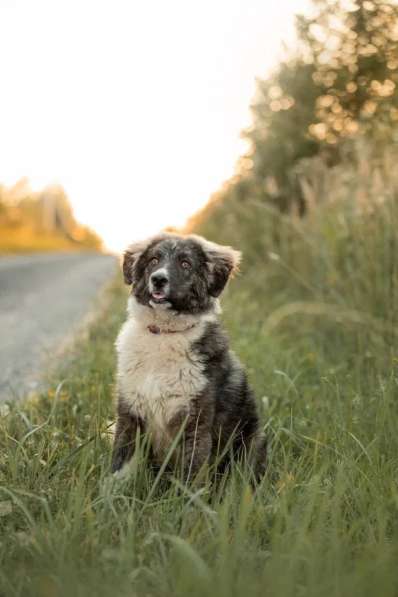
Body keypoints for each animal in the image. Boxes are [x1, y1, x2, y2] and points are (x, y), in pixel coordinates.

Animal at [111, 230, 268, 482]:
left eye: (185, 264)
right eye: (154, 260)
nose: (158, 279)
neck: (164, 334)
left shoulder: (195, 423)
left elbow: (191, 476)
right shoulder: (129, 413)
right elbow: (119, 468)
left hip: (252, 441)